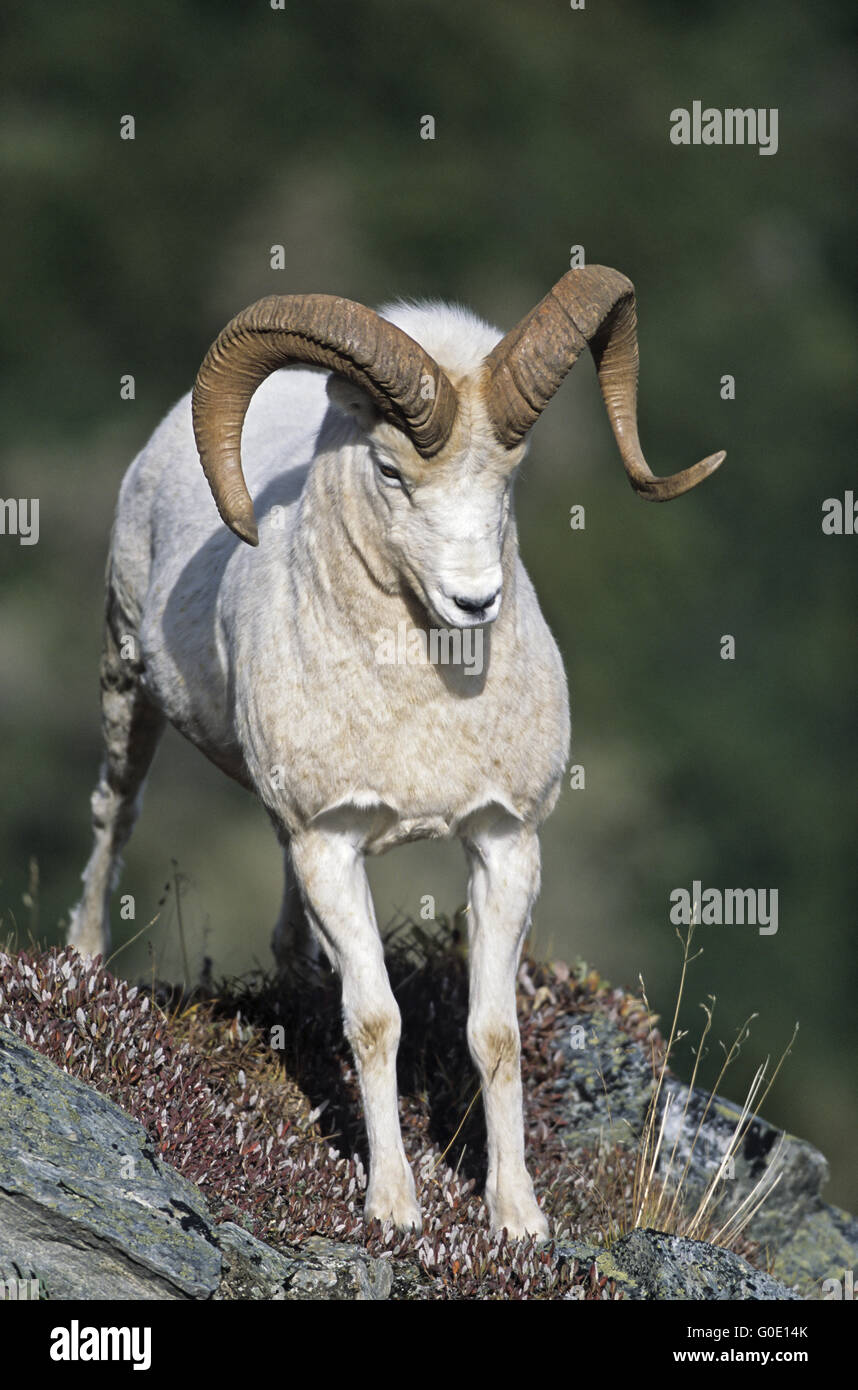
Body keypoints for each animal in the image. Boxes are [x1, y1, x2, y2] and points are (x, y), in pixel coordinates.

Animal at [68, 265, 723, 1234]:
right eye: (388, 469)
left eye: (511, 474)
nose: (474, 603)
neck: (424, 705)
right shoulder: (332, 845)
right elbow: (376, 1020)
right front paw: (394, 1208)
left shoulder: (503, 843)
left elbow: (494, 1034)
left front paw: (517, 1220)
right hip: (126, 684)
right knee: (114, 813)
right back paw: (80, 964)